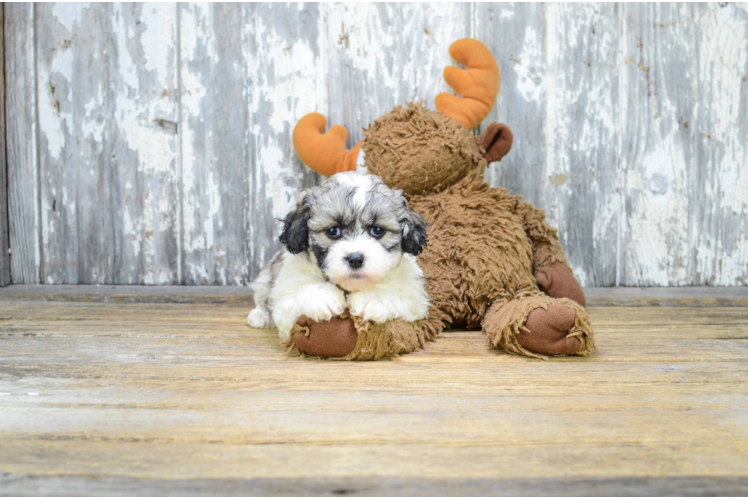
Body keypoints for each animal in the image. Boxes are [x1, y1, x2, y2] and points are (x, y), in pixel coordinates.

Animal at [248, 171, 430, 340]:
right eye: (333, 231)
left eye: (377, 230)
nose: (355, 259)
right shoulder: (285, 294)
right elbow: (297, 292)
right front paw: (323, 296)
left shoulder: (414, 295)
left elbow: (397, 290)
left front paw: (373, 298)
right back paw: (259, 316)